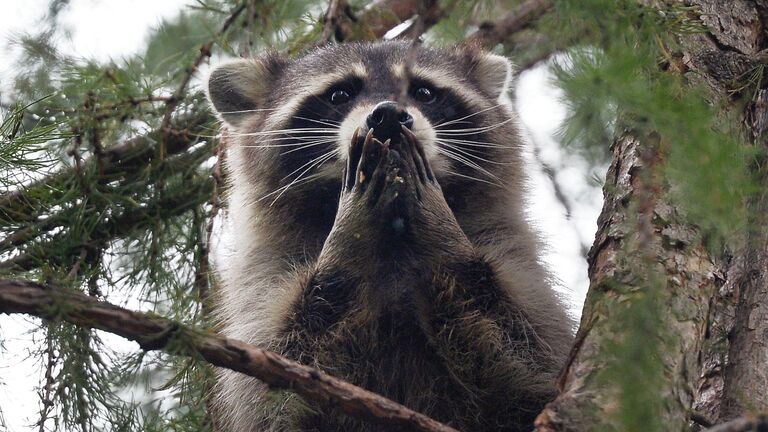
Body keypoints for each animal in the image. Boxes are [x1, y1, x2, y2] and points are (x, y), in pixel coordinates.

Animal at [207, 41, 572, 432]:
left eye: (424, 92)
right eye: (340, 94)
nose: (389, 116)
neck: (393, 237)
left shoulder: (511, 250)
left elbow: (527, 371)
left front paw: (444, 237)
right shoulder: (264, 278)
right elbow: (275, 395)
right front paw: (348, 240)